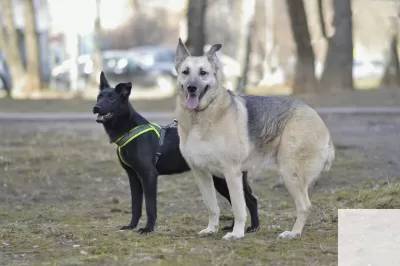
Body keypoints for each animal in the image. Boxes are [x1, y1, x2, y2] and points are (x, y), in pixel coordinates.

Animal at [93, 71, 260, 234]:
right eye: (99, 97)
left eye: (111, 99)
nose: (96, 108)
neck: (129, 129)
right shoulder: (133, 177)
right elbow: (136, 206)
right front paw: (131, 226)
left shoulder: (148, 175)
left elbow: (150, 207)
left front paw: (148, 229)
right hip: (221, 179)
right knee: (238, 201)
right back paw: (233, 227)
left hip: (226, 178)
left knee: (250, 200)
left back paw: (253, 227)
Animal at [175, 38, 334, 240]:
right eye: (185, 72)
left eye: (203, 73)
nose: (191, 88)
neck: (200, 117)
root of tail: (317, 118)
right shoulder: (201, 173)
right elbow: (212, 207)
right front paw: (212, 229)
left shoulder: (232, 173)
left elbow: (238, 208)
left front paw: (237, 234)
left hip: (290, 173)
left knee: (305, 206)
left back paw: (293, 233)